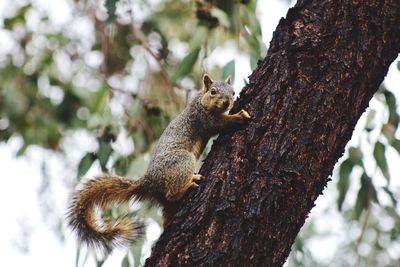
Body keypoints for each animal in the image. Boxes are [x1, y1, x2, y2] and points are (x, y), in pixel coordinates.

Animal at [67, 74, 252, 253]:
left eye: (233, 92)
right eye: (213, 91)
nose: (227, 102)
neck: (200, 100)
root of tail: (150, 181)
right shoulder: (203, 118)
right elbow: (219, 123)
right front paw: (239, 116)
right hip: (182, 160)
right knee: (172, 193)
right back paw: (188, 185)